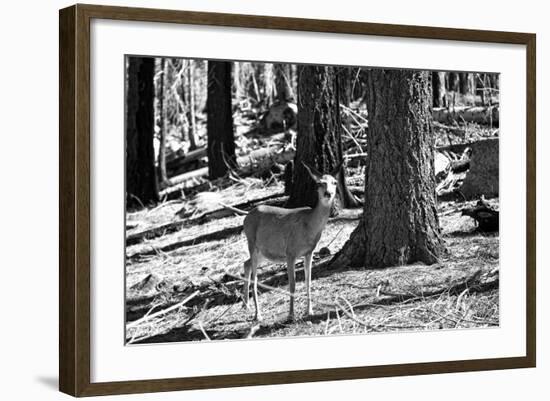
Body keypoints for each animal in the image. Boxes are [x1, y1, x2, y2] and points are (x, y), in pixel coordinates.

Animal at [244, 161, 342, 320]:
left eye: (335, 182)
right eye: (320, 183)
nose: (328, 193)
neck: (309, 226)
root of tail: (245, 218)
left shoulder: (309, 252)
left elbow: (308, 282)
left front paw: (309, 311)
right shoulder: (290, 252)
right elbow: (293, 285)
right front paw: (291, 315)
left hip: (264, 251)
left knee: (245, 264)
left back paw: (245, 305)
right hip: (251, 242)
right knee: (255, 279)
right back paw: (258, 314)